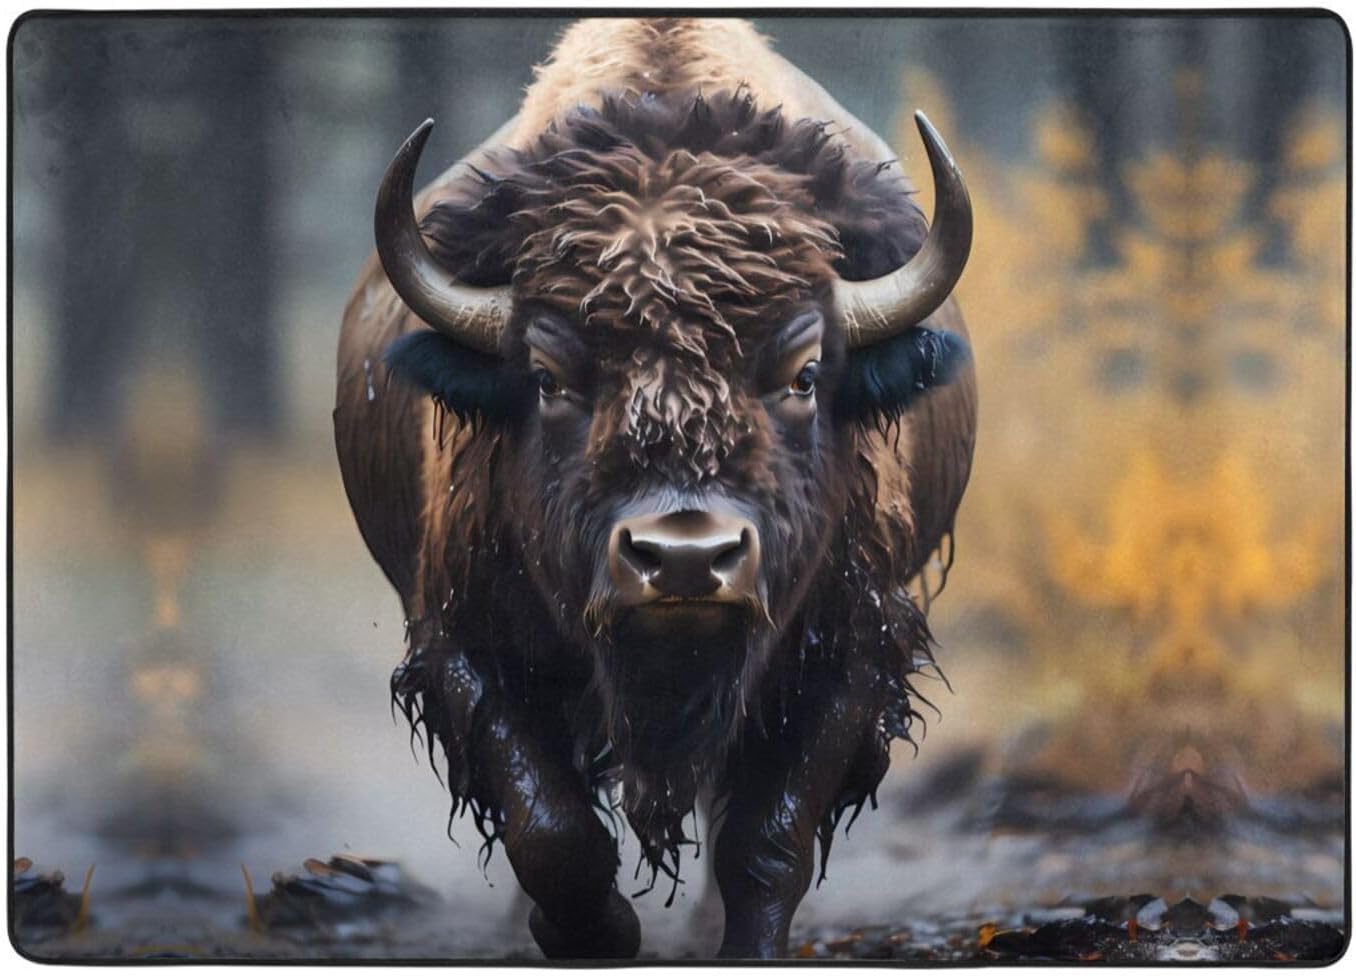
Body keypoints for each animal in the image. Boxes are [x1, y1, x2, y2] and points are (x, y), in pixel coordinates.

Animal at [335, 17, 976, 959]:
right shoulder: (466, 647)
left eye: (805, 372)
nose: (684, 559)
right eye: (547, 377)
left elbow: (766, 843)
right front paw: (588, 932)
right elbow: (552, 831)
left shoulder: (847, 656)